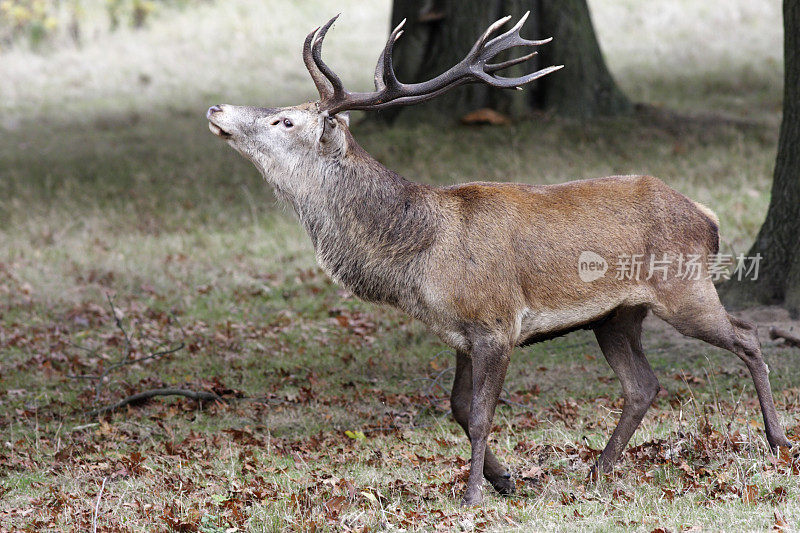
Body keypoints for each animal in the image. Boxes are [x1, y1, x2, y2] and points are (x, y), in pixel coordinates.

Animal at [203, 12, 792, 502]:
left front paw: (471, 496)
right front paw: (504, 478)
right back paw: (597, 471)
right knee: (643, 384)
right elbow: (459, 409)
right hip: (616, 315)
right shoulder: (460, 333)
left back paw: (777, 440)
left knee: (746, 336)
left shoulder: (496, 323)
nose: (216, 107)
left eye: (285, 122)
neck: (418, 256)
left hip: (684, 288)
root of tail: (706, 217)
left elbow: (484, 414)